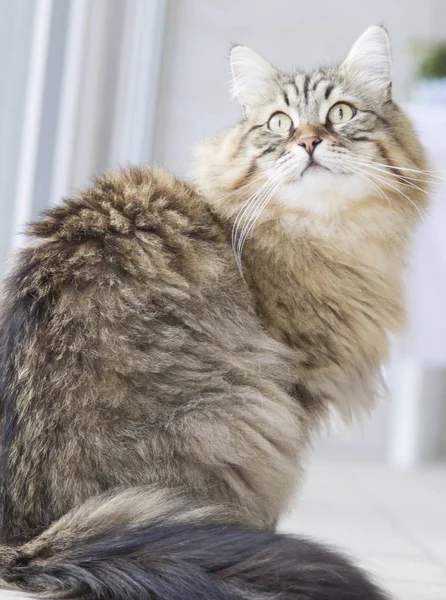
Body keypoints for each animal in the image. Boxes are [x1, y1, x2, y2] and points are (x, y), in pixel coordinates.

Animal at [0, 25, 432, 596]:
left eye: (339, 113)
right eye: (279, 123)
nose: (309, 142)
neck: (329, 233)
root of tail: (23, 538)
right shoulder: (293, 394)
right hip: (249, 413)